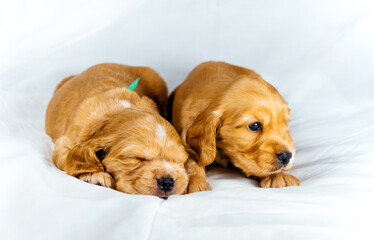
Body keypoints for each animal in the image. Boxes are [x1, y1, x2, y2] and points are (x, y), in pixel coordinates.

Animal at [45, 62, 188, 198]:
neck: (119, 110)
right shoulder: (64, 143)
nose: (167, 182)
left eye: (179, 161)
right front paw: (95, 176)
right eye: (137, 158)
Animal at [168, 61, 300, 193]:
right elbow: (191, 158)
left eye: (285, 123)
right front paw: (191, 180)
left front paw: (278, 176)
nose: (286, 156)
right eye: (254, 125)